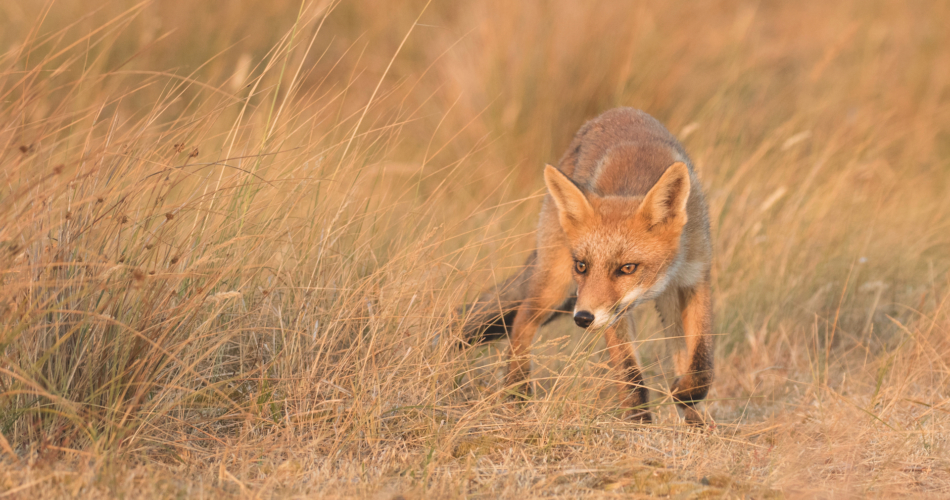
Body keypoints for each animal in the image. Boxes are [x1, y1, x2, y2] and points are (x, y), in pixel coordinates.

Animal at [462, 107, 712, 424]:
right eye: (582, 266)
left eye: (627, 268)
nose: (582, 319)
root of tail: (614, 111)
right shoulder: (610, 311)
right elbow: (630, 373)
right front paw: (638, 422)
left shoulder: (695, 278)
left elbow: (702, 360)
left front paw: (687, 396)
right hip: (557, 290)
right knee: (521, 321)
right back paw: (517, 393)